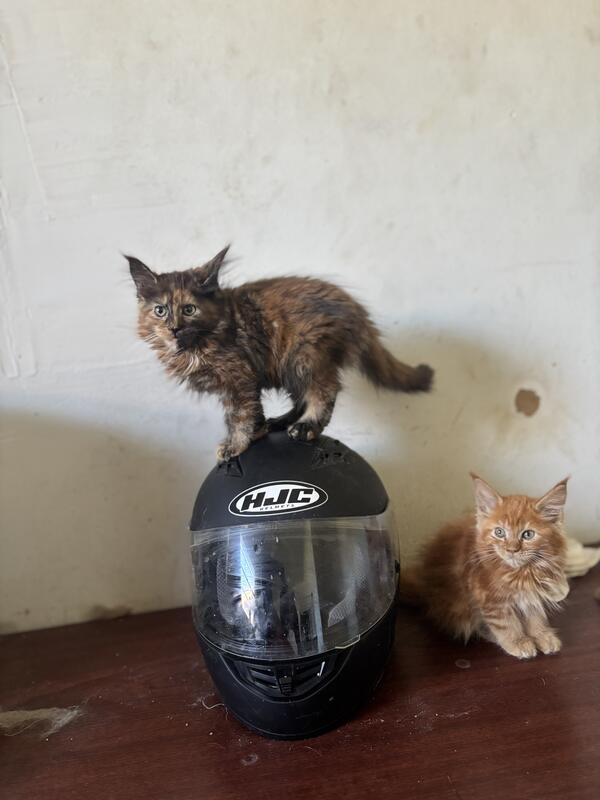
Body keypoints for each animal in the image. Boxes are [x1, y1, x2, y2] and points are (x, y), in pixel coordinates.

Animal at [127, 246, 433, 461]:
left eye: (189, 309)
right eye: (160, 310)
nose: (174, 328)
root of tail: (356, 310)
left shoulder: (238, 378)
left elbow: (239, 416)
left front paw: (236, 445)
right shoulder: (240, 383)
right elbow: (249, 412)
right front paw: (259, 431)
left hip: (305, 354)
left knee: (324, 391)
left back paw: (307, 426)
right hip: (290, 365)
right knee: (301, 397)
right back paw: (282, 422)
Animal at [402, 474, 570, 659]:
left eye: (528, 535)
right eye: (499, 532)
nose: (512, 550)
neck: (521, 573)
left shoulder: (532, 593)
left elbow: (535, 616)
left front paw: (542, 635)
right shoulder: (490, 600)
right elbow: (505, 623)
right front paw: (517, 642)